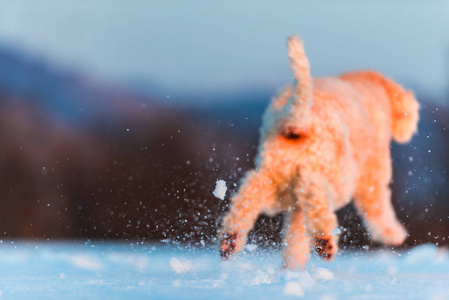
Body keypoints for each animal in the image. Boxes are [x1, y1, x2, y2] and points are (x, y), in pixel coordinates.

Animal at [219, 34, 418, 270]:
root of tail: (297, 122)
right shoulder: (373, 174)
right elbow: (378, 205)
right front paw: (393, 234)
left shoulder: (296, 206)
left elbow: (296, 235)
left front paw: (292, 266)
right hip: (329, 173)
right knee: (316, 195)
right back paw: (325, 242)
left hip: (276, 176)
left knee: (249, 193)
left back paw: (230, 240)